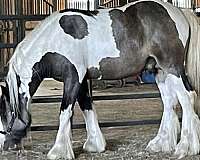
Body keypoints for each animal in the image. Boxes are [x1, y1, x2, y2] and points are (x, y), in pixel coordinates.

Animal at [0, 0, 200, 159]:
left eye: (4, 113)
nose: (4, 145)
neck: (54, 39)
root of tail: (179, 11)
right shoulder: (81, 80)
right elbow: (87, 107)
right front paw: (94, 145)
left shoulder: (73, 77)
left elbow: (65, 111)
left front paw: (58, 151)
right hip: (160, 71)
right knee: (169, 101)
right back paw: (160, 144)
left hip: (173, 68)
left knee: (187, 97)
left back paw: (186, 148)